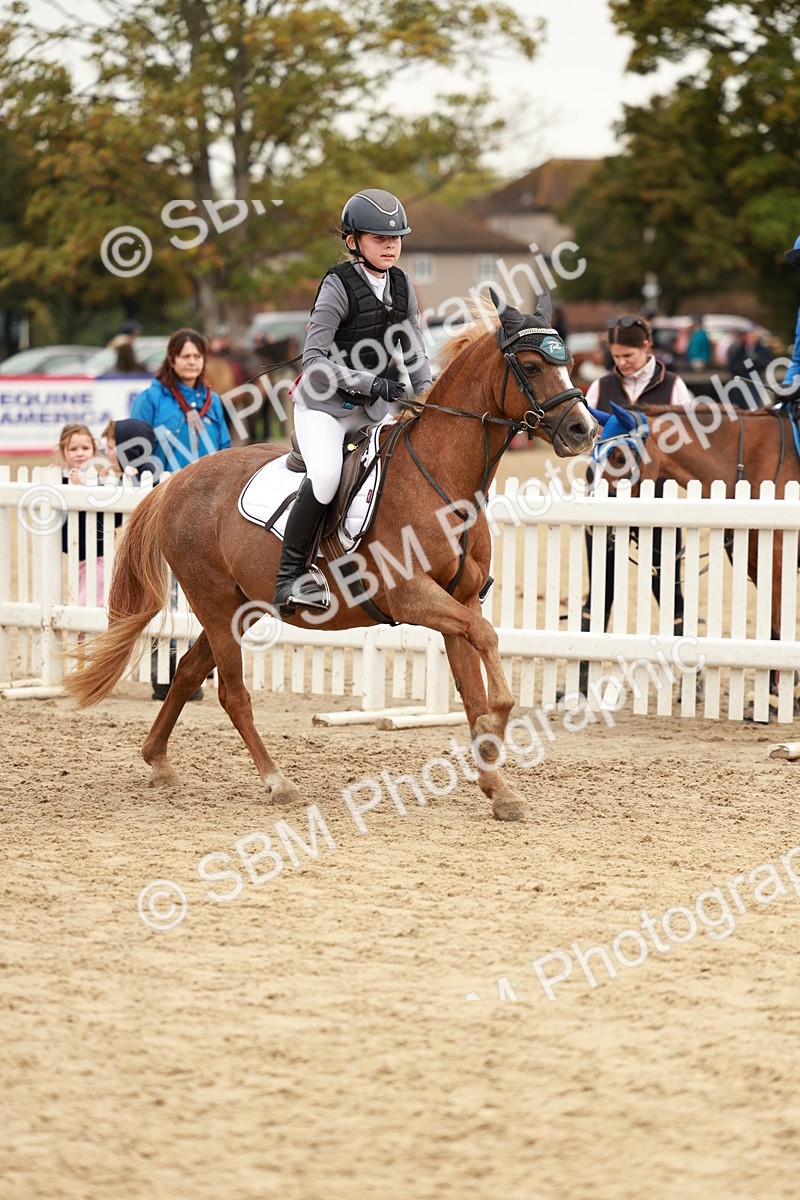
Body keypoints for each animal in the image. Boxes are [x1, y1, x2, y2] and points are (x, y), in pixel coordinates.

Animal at [65, 291, 596, 822]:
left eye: (568, 362)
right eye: (531, 365)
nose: (583, 430)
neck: (445, 481)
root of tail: (176, 480)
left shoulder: (460, 601)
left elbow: (472, 689)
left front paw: (498, 788)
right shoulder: (413, 597)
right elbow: (487, 648)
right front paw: (500, 722)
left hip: (242, 607)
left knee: (190, 671)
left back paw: (157, 759)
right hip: (214, 602)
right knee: (231, 692)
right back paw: (276, 782)